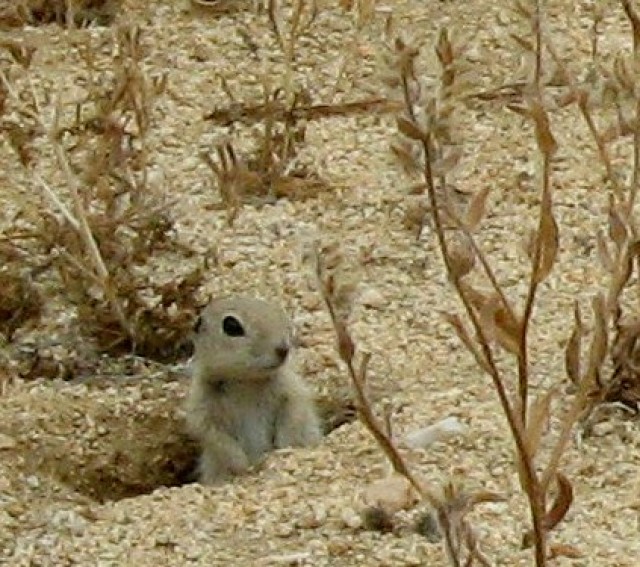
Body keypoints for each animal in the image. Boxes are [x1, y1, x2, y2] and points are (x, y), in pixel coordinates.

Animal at [186, 298, 322, 484]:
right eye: (231, 326)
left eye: (275, 310)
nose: (283, 349)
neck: (245, 381)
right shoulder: (202, 409)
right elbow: (216, 437)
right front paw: (244, 465)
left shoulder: (291, 389)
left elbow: (293, 412)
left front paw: (283, 448)